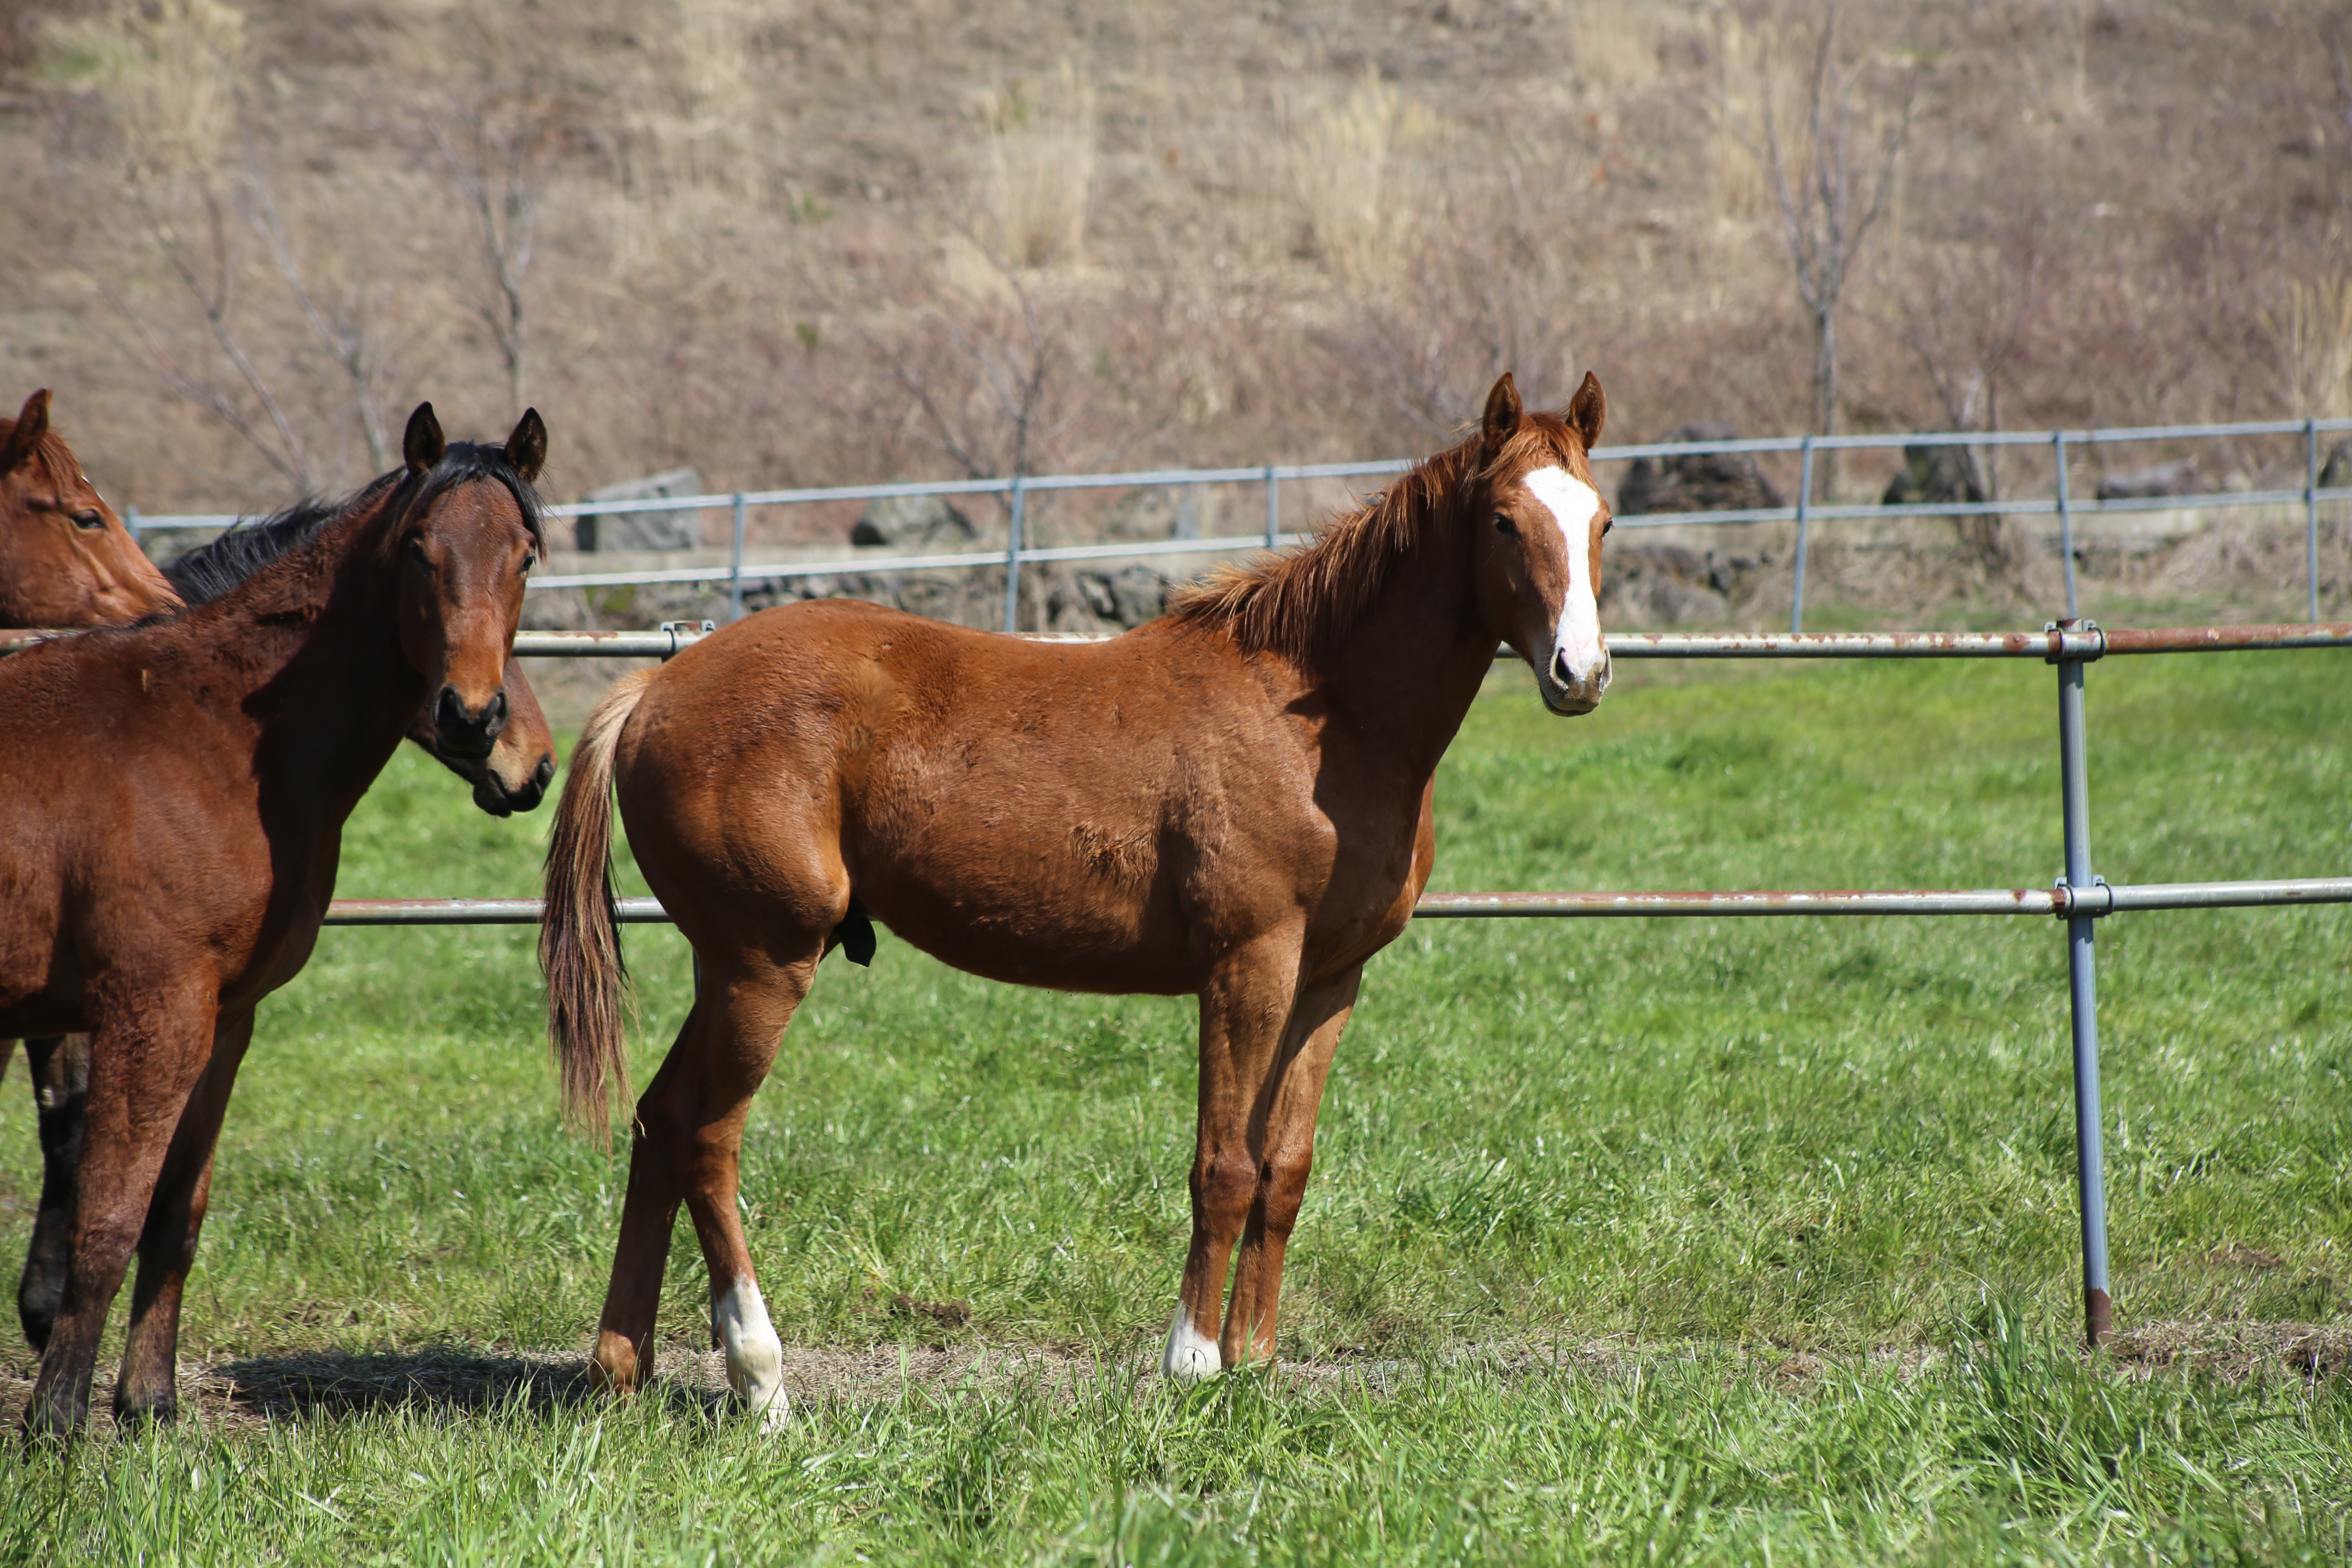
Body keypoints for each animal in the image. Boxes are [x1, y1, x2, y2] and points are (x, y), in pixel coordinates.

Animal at [0, 402, 546, 1439]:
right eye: (419, 551)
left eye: (527, 555)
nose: (481, 721)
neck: (218, 736)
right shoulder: (150, 1013)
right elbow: (109, 1212)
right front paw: (57, 1420)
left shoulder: (225, 1019)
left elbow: (177, 1211)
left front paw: (150, 1403)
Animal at [546, 371, 1618, 1420]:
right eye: (1502, 521)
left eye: (1601, 520)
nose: (1581, 672)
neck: (1317, 723)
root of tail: (654, 690)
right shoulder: (1247, 967)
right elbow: (1224, 1167)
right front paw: (1192, 1363)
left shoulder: (1329, 982)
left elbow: (1285, 1168)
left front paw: (1256, 1362)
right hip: (765, 965)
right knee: (707, 1139)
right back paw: (760, 1377)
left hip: (722, 965)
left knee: (658, 1122)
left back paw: (620, 1365)